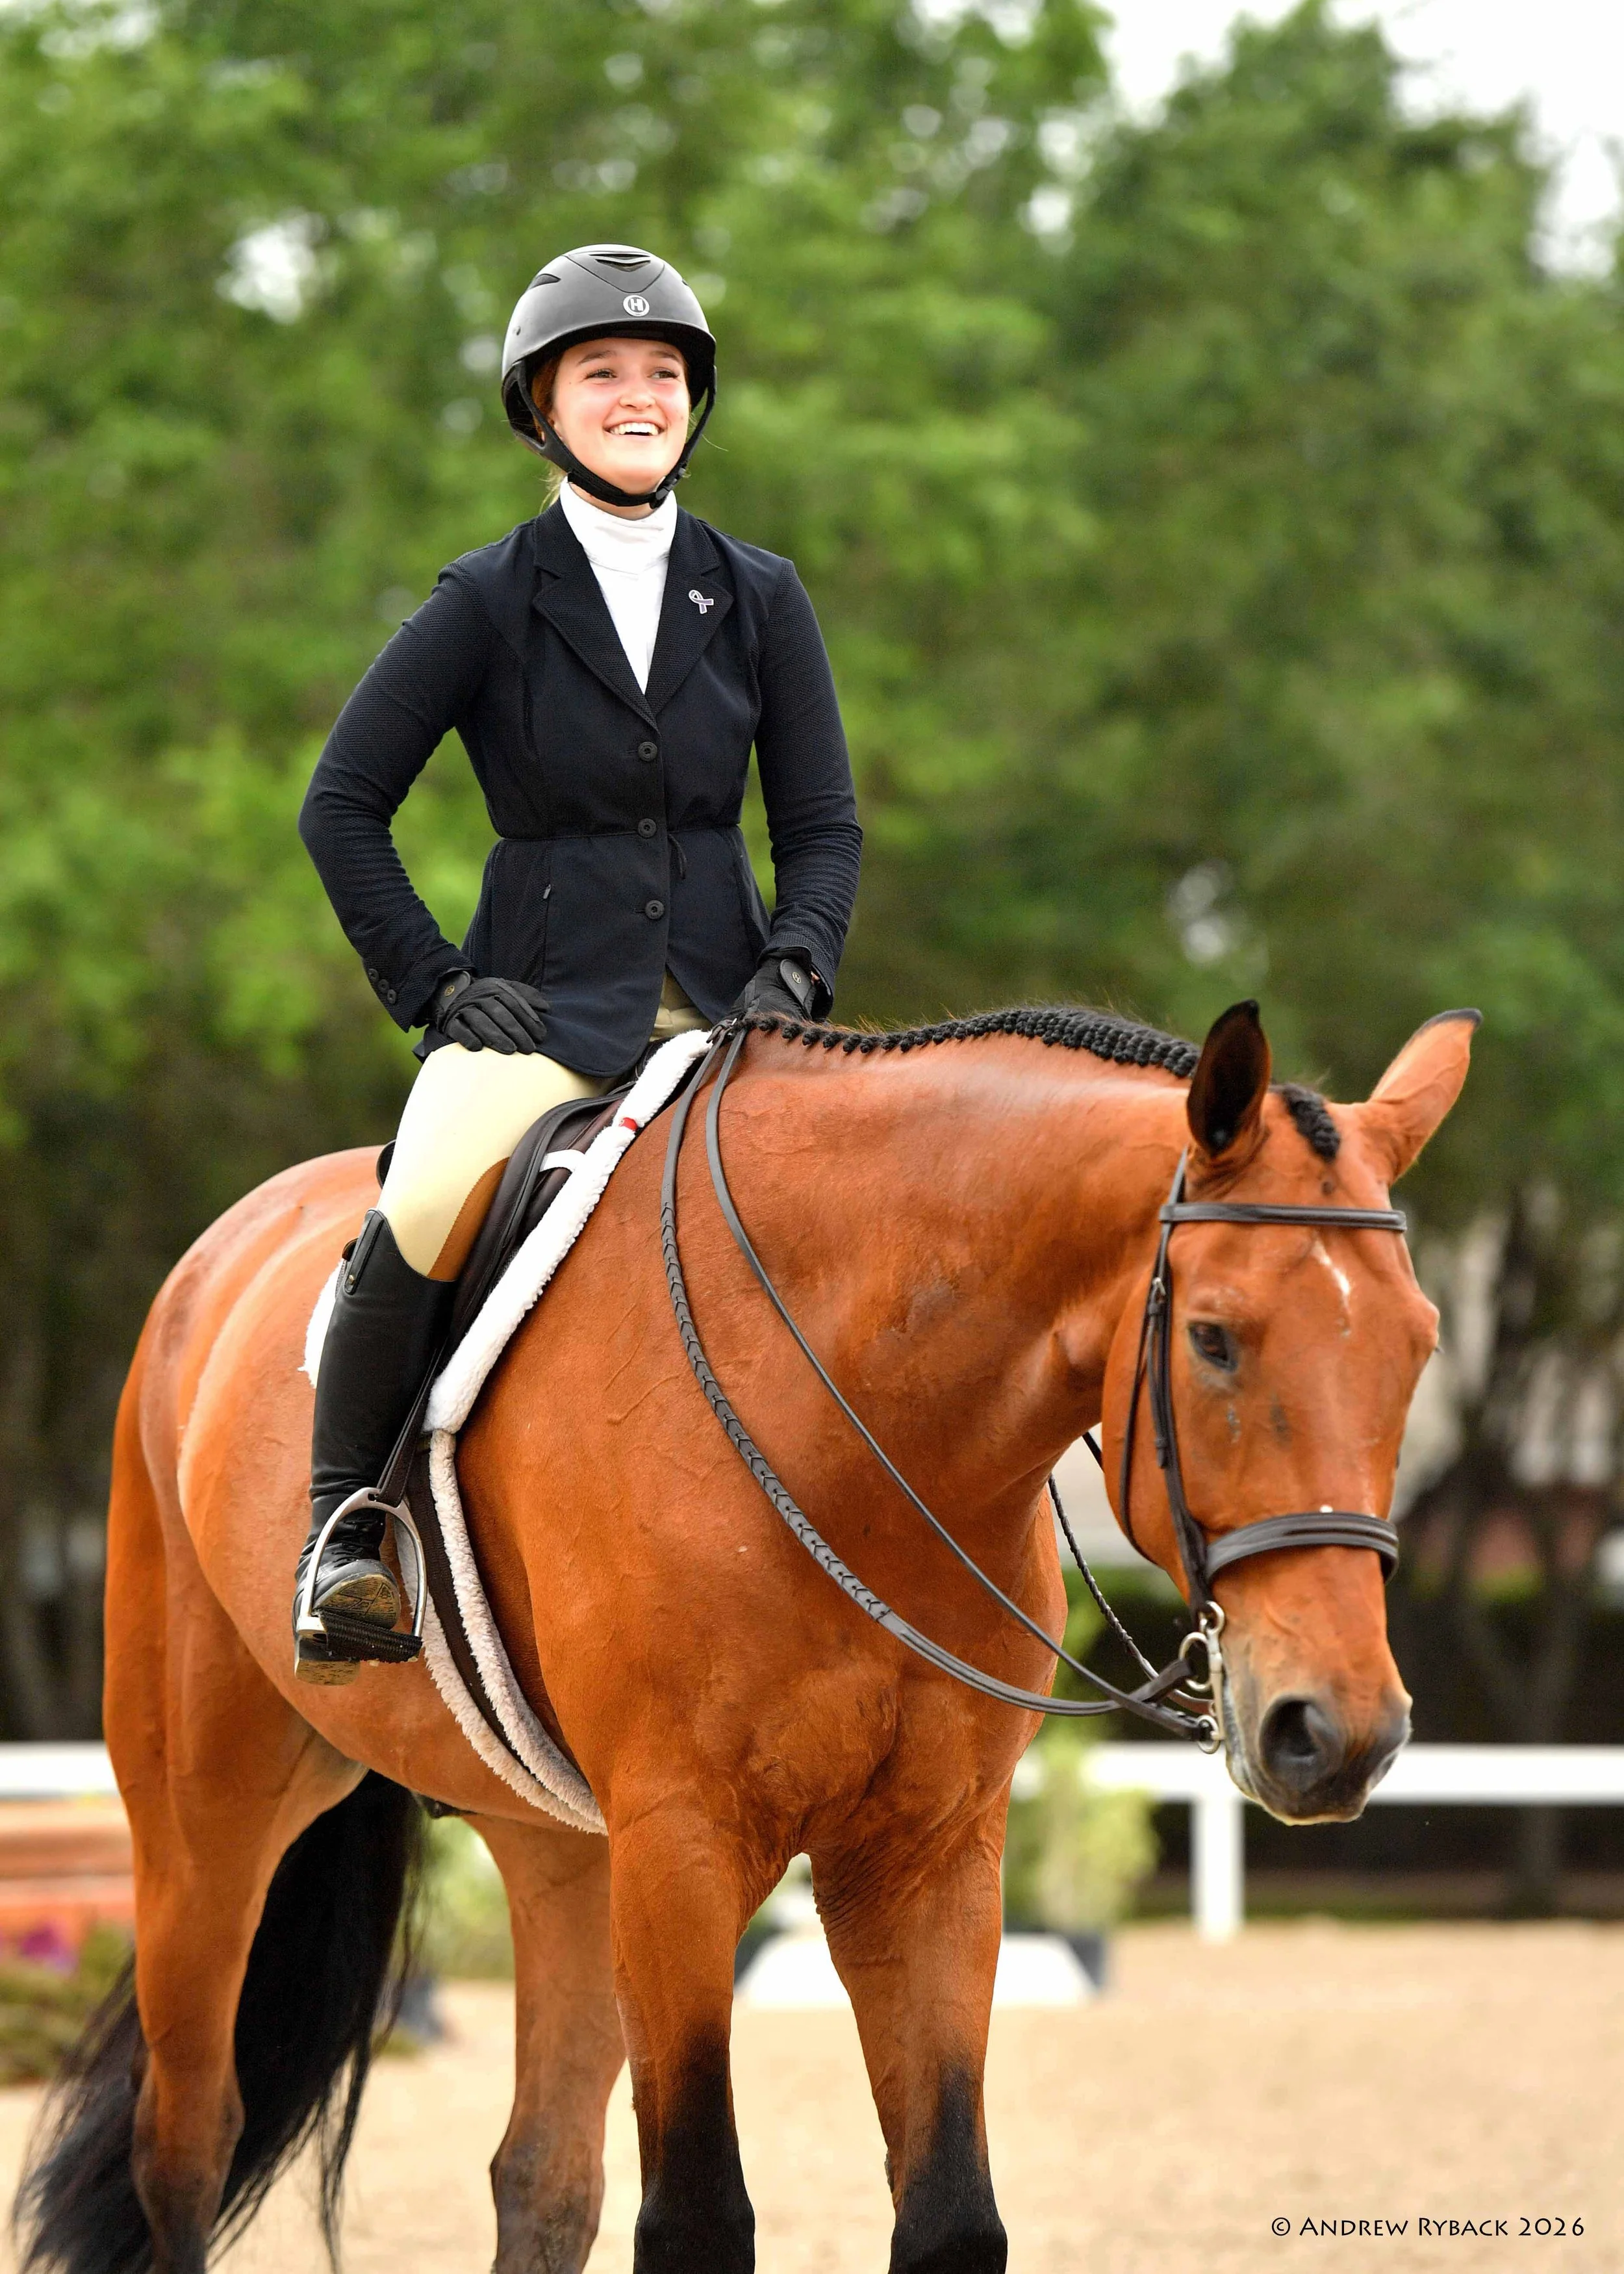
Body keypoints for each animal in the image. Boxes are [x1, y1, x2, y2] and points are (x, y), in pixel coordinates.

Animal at [16, 995, 1475, 2274]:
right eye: (1216, 1340)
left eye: (1418, 1347)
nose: (1336, 1732)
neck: (857, 1418)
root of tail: (225, 1250)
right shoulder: (682, 1841)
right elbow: (700, 2219)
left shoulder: (929, 1853)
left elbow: (951, 2217)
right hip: (207, 1819)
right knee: (185, 2145)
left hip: (562, 1854)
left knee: (540, 2175)